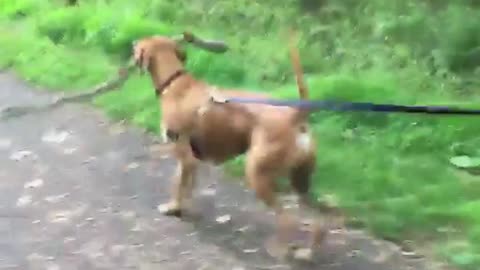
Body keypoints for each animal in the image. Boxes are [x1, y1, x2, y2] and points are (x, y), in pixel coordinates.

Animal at [131, 31, 322, 260]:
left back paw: (281, 250)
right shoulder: (191, 161)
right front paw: (182, 206)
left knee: (288, 219)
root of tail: (295, 116)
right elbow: (186, 185)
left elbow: (178, 185)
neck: (175, 82)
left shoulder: (184, 155)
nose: (132, 43)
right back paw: (307, 252)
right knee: (317, 221)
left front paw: (173, 208)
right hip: (301, 181)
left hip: (258, 175)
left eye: (139, 45)